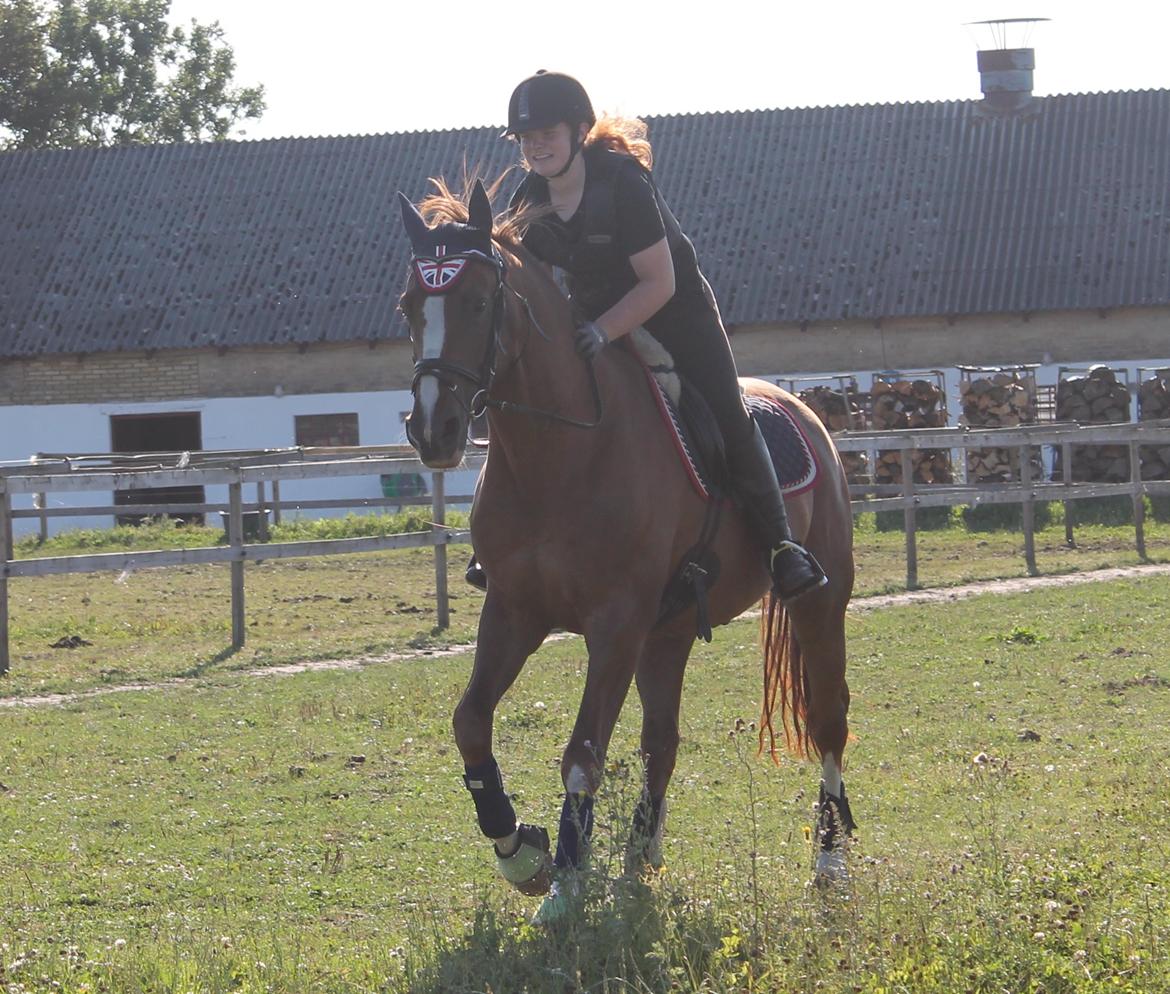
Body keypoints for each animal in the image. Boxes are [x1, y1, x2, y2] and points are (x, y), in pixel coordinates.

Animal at [397, 176, 856, 912]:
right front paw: (519, 850)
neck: (560, 452)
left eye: (477, 301)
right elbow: (470, 722)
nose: (433, 428)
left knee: (827, 720)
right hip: (667, 632)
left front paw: (565, 879)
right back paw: (642, 854)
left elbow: (582, 754)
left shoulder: (614, 623)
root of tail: (805, 410)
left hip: (819, 604)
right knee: (661, 740)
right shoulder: (514, 610)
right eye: (410, 306)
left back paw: (830, 859)